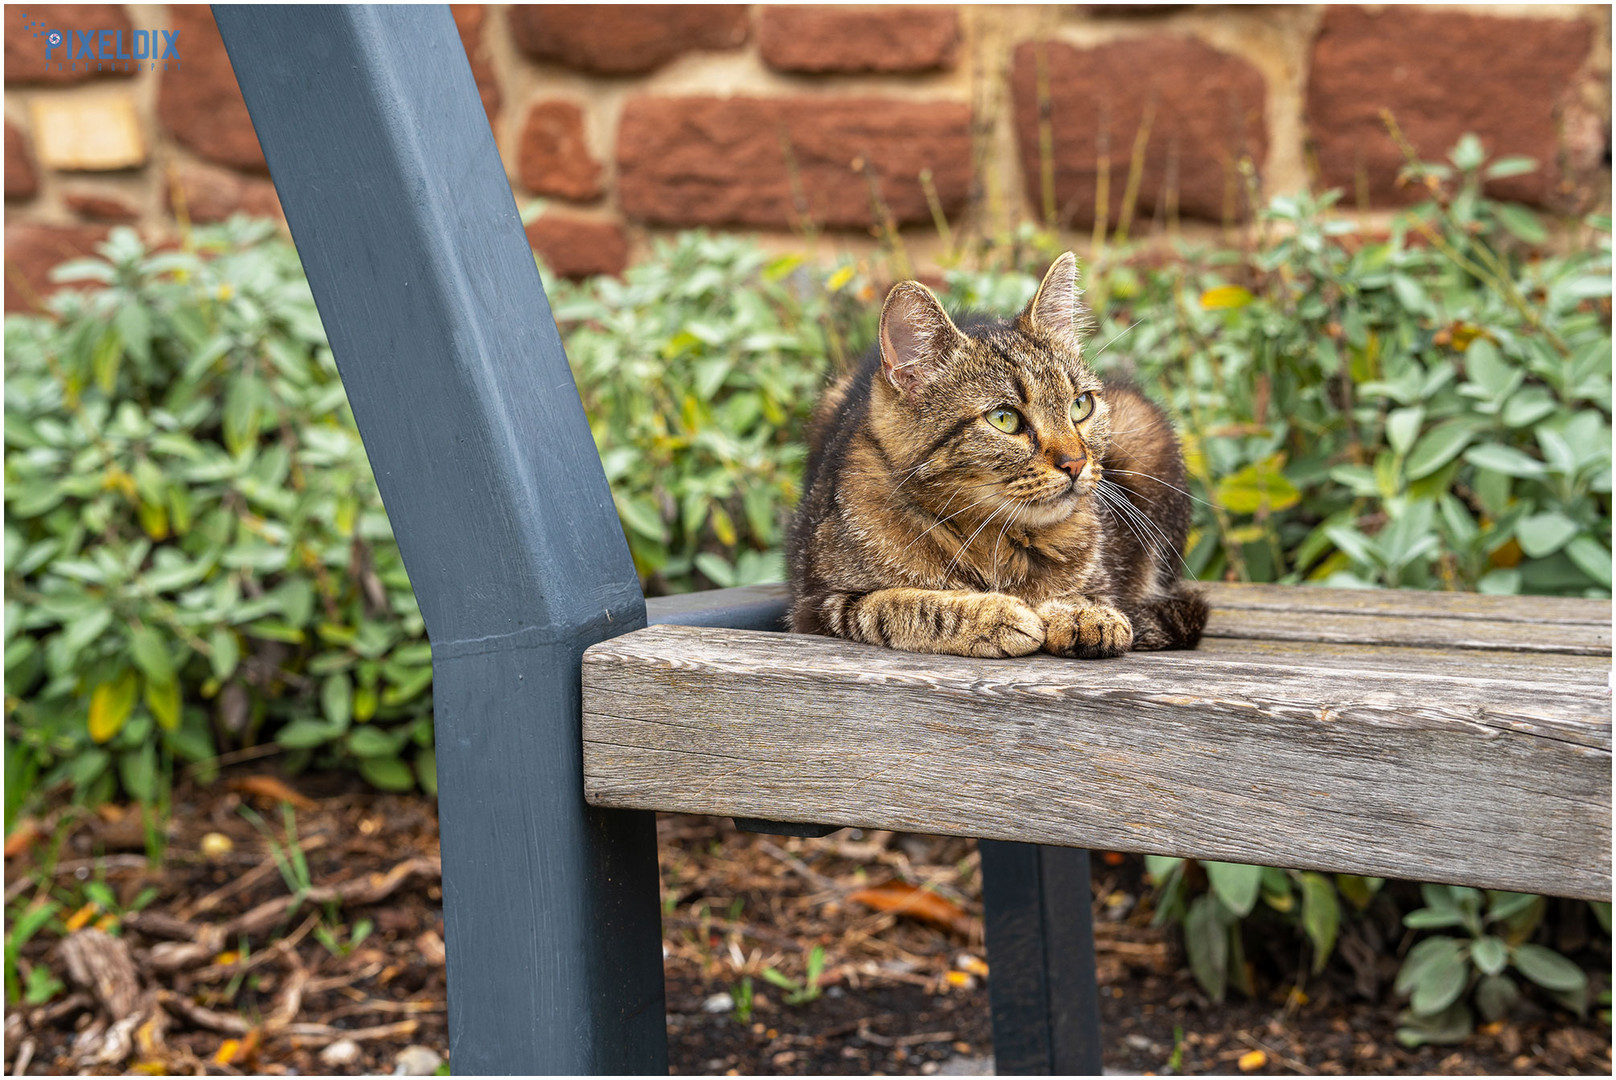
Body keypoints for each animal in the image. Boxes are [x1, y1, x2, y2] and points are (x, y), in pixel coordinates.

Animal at [788, 253, 1208, 659]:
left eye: (1080, 405)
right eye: (1004, 418)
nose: (1075, 462)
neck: (996, 541)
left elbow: (1088, 594)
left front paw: (1081, 612)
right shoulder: (819, 604)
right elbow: (897, 605)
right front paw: (992, 614)